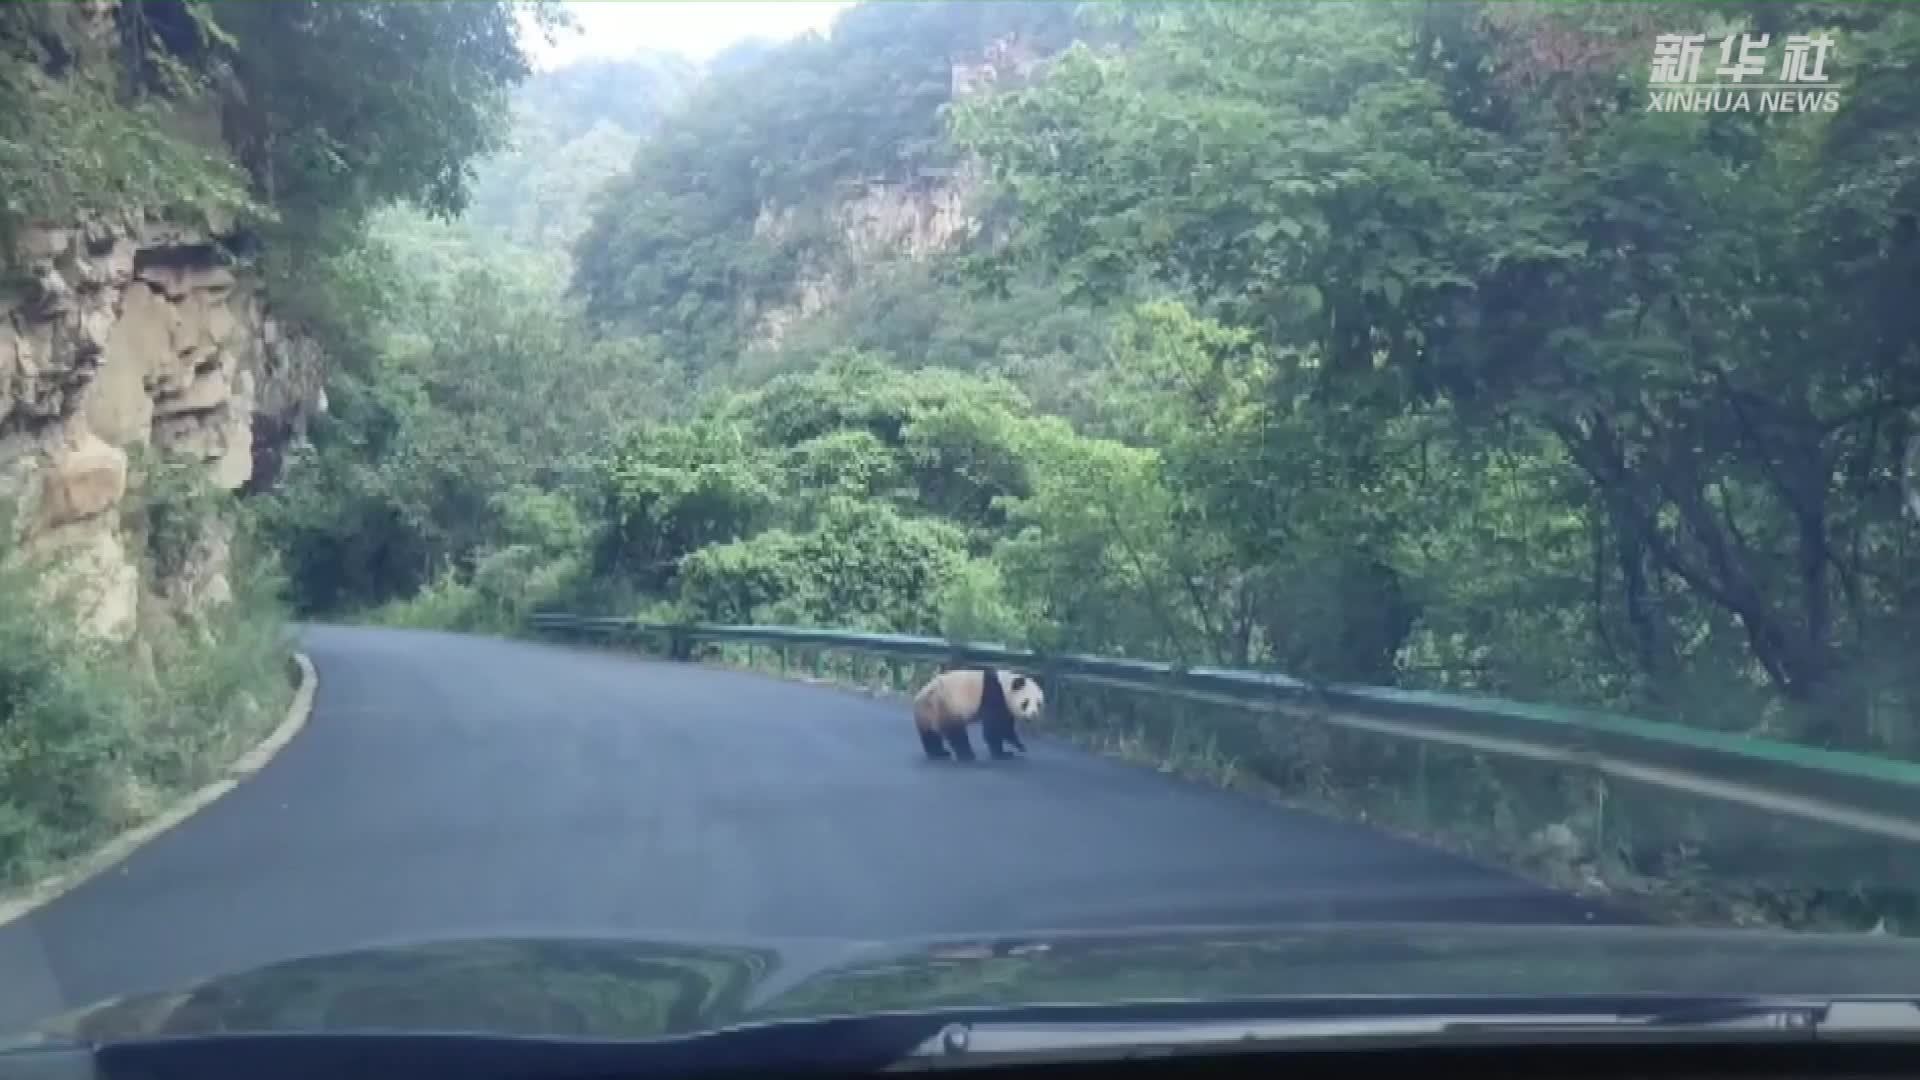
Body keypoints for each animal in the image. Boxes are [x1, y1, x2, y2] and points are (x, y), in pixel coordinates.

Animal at [906, 661, 1044, 760]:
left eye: (1038, 704)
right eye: (1025, 703)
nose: (1033, 715)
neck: (1005, 684)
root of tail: (920, 696)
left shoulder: (1005, 705)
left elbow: (1005, 726)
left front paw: (1019, 745)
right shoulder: (994, 694)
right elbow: (994, 727)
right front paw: (1003, 753)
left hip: (927, 712)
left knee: (930, 735)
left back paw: (938, 753)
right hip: (946, 705)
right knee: (956, 732)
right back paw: (967, 755)